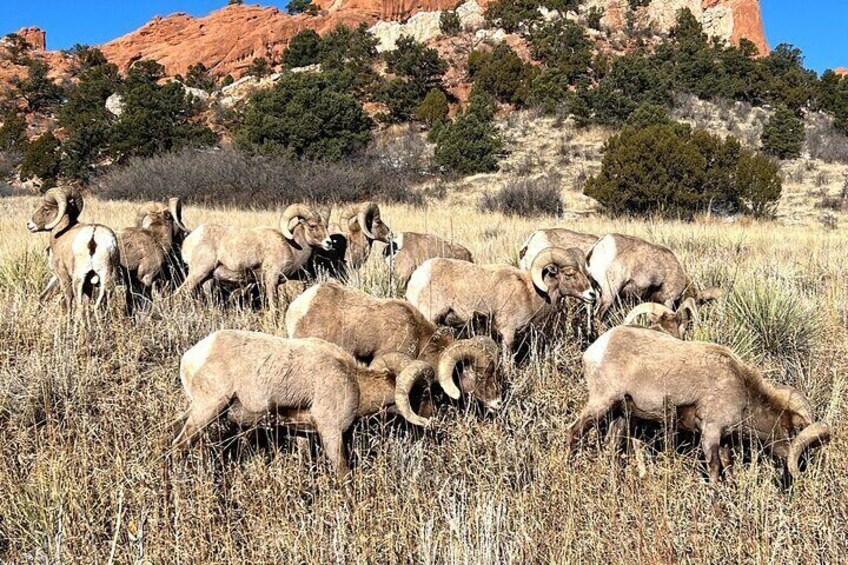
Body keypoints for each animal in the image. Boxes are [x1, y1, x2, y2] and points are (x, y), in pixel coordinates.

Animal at [171, 330, 435, 477]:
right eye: (424, 393)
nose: (433, 418)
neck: (353, 382)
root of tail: (191, 357)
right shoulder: (331, 433)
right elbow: (343, 471)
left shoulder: (302, 434)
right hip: (206, 411)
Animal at [177, 203, 332, 310]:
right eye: (312, 226)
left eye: (326, 226)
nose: (329, 243)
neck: (291, 247)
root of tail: (189, 240)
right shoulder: (271, 280)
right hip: (198, 273)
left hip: (207, 279)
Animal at [568, 326, 831, 482]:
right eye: (793, 433)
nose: (804, 468)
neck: (742, 390)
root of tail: (595, 349)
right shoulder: (710, 433)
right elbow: (714, 470)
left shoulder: (724, 440)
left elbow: (728, 468)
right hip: (601, 403)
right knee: (574, 431)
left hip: (621, 416)